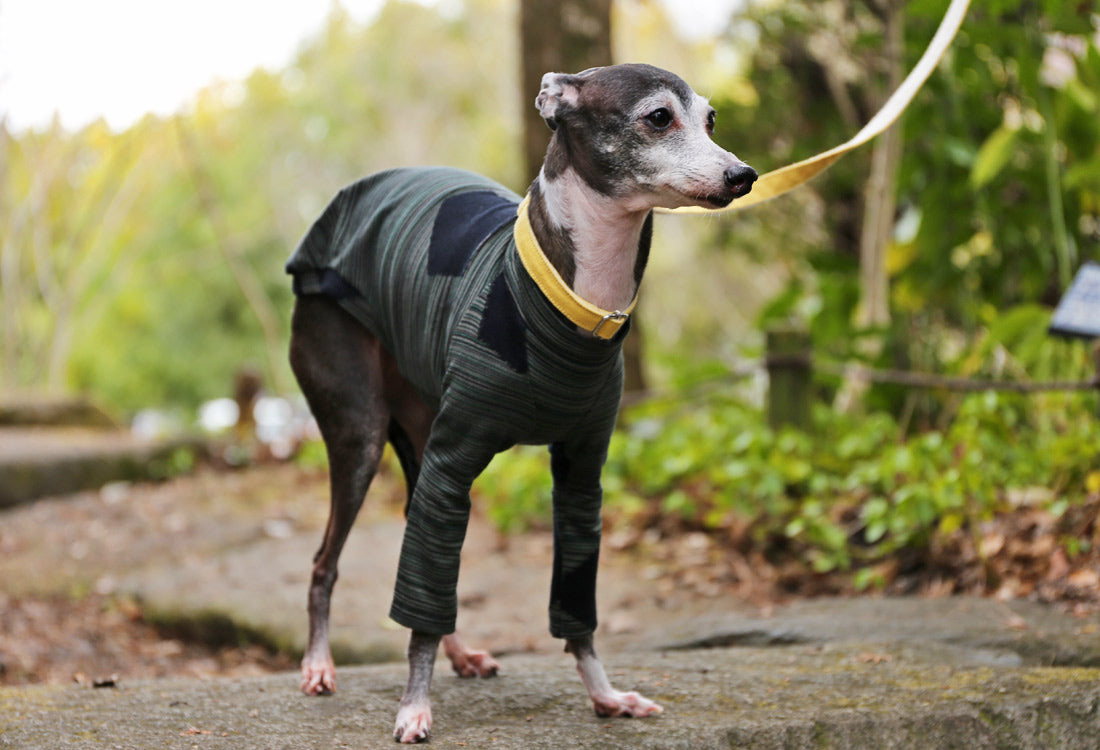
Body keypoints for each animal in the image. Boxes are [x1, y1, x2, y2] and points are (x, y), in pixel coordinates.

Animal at [283, 64, 756, 743]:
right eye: (659, 117)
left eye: (712, 120)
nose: (742, 175)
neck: (576, 307)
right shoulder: (453, 463)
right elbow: (419, 610)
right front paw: (413, 707)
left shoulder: (581, 475)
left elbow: (574, 606)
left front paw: (605, 695)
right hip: (361, 433)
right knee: (327, 561)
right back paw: (319, 665)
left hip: (423, 441)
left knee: (421, 553)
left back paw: (460, 656)